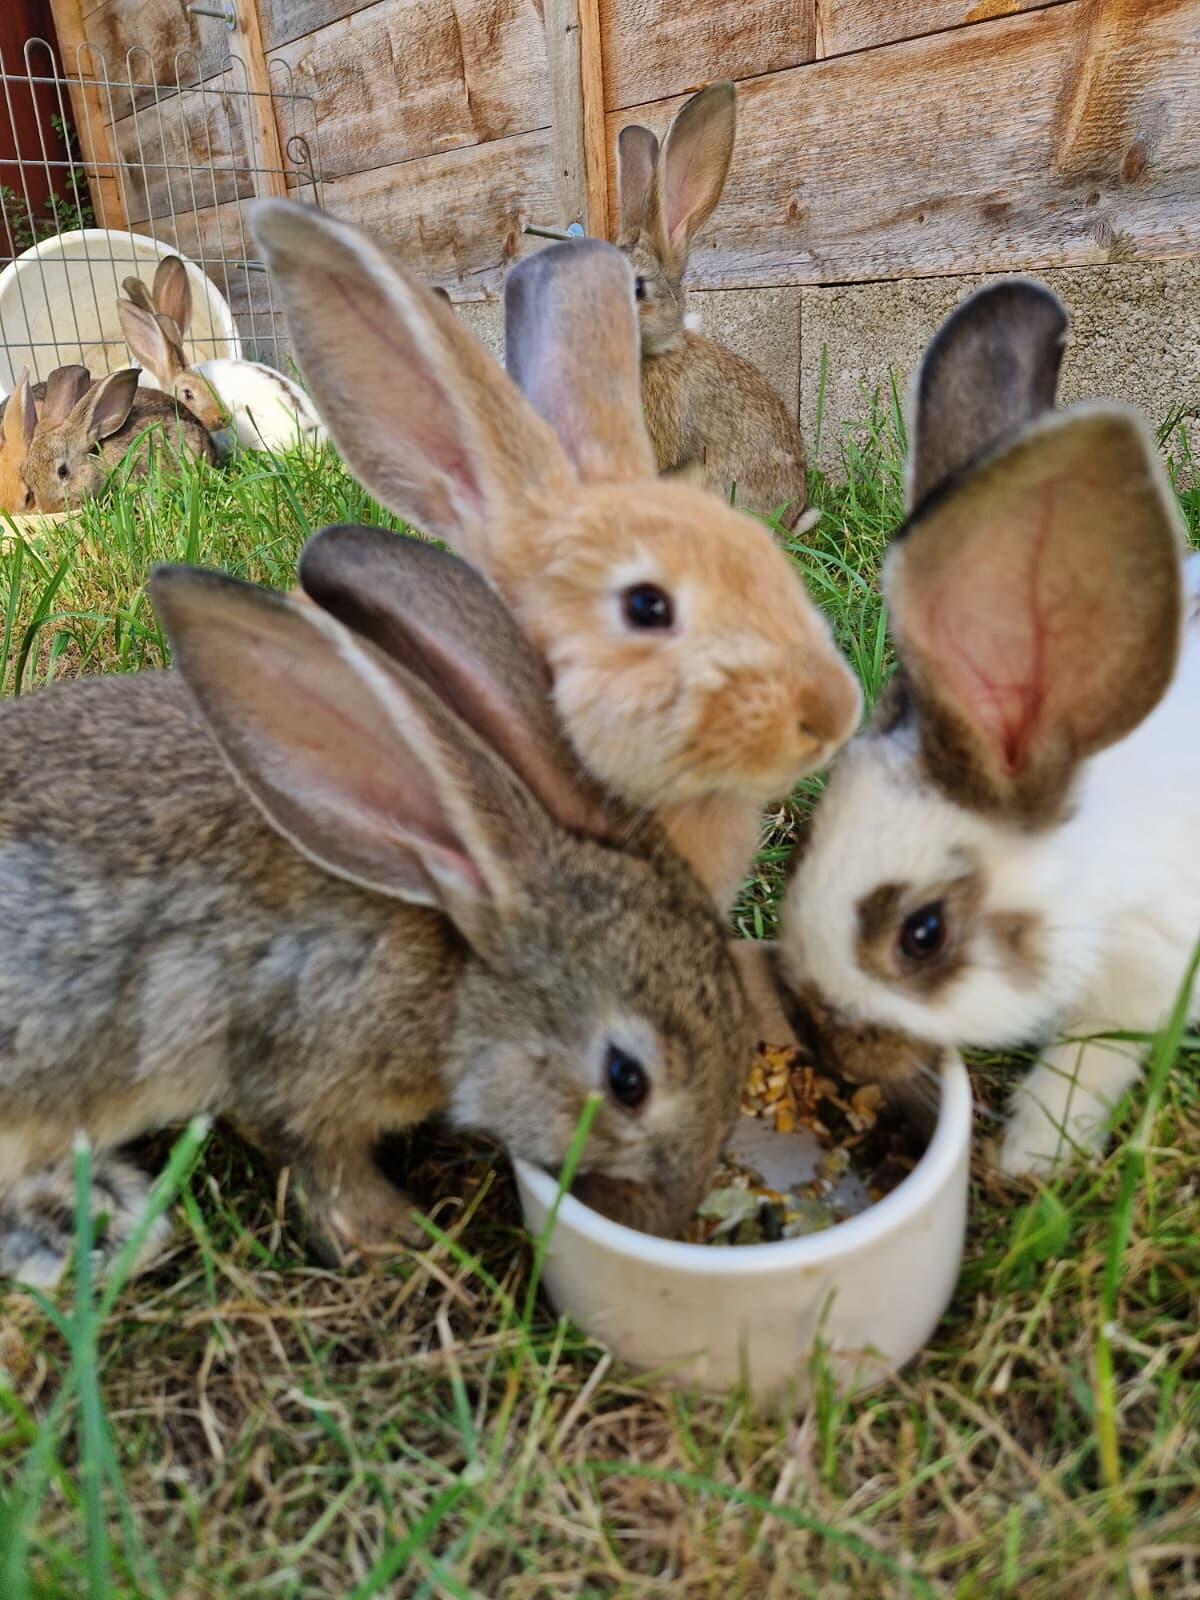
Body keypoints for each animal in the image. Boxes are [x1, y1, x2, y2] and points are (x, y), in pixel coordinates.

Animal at [0, 527, 753, 1288]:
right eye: (627, 1081)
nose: (664, 1216)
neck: (455, 976)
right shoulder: (296, 1072)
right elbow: (318, 1164)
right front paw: (396, 1237)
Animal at [758, 277, 1197, 1177]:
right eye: (803, 845)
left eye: (923, 936)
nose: (827, 1044)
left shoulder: (1143, 974)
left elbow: (1088, 1063)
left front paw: (1034, 1156)